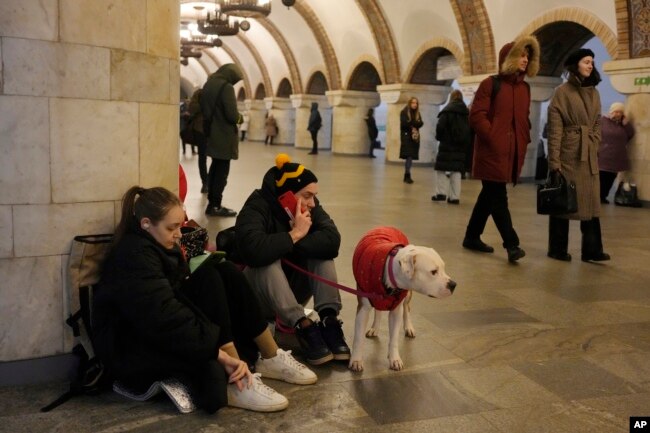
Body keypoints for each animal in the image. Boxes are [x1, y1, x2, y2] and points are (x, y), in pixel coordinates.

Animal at [350, 226, 450, 372]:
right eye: (433, 272)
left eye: (443, 268)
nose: (453, 284)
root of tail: (386, 226)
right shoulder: (363, 309)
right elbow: (358, 338)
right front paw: (356, 360)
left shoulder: (396, 311)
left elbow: (394, 338)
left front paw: (394, 359)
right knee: (378, 310)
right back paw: (375, 328)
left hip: (407, 296)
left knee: (407, 308)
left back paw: (408, 327)